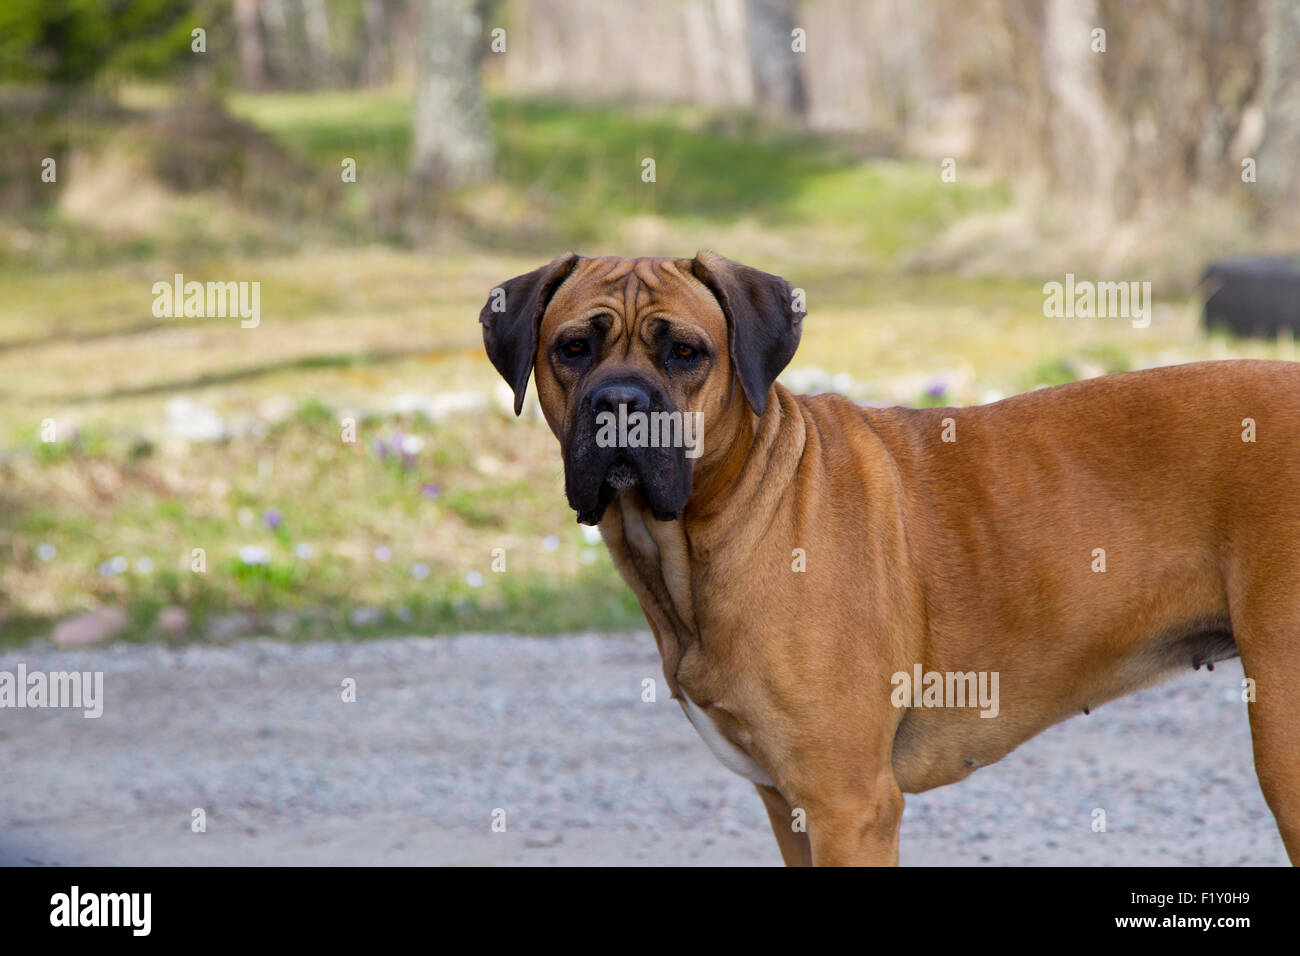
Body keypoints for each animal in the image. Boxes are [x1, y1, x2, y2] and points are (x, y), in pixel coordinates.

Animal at [480, 254, 1300, 868]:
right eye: (573, 348)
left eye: (685, 352)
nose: (621, 402)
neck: (728, 513)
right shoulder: (792, 809)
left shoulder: (848, 807)